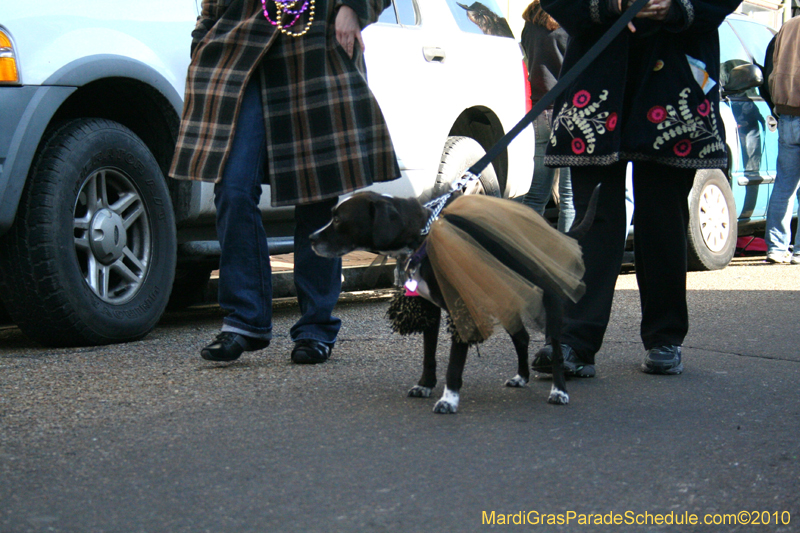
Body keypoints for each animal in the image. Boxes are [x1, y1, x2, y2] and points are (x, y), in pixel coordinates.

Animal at [310, 189, 596, 414]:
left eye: (338, 219)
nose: (311, 239)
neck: (424, 237)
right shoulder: (429, 310)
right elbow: (429, 355)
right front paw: (425, 385)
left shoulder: (462, 309)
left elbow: (454, 364)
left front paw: (449, 399)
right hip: (504, 293)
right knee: (522, 338)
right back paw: (521, 377)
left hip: (549, 304)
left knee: (556, 351)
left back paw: (559, 391)